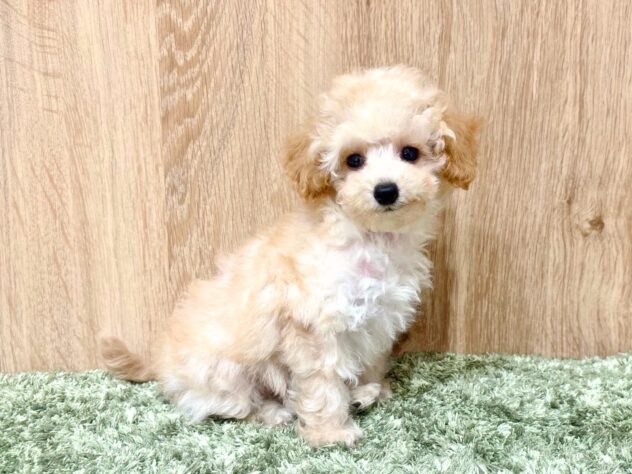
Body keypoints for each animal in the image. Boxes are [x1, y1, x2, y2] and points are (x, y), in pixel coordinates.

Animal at [100, 66, 482, 447]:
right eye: (354, 160)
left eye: (410, 153)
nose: (385, 190)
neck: (371, 238)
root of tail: (160, 365)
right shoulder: (313, 324)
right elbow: (322, 381)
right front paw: (331, 432)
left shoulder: (378, 321)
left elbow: (369, 360)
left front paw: (371, 388)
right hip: (224, 374)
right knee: (234, 408)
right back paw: (275, 413)